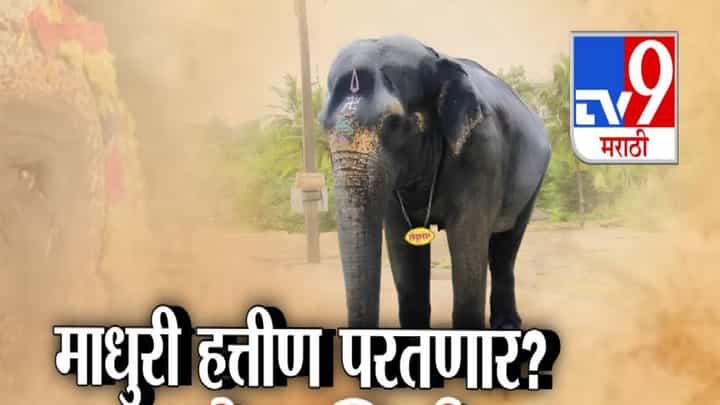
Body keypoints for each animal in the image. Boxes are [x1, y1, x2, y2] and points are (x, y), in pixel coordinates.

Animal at [320, 35, 551, 329]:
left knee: (506, 246)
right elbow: (402, 249)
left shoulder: (482, 153)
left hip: (532, 184)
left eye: (394, 123)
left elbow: (467, 243)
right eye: (322, 124)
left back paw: (507, 325)